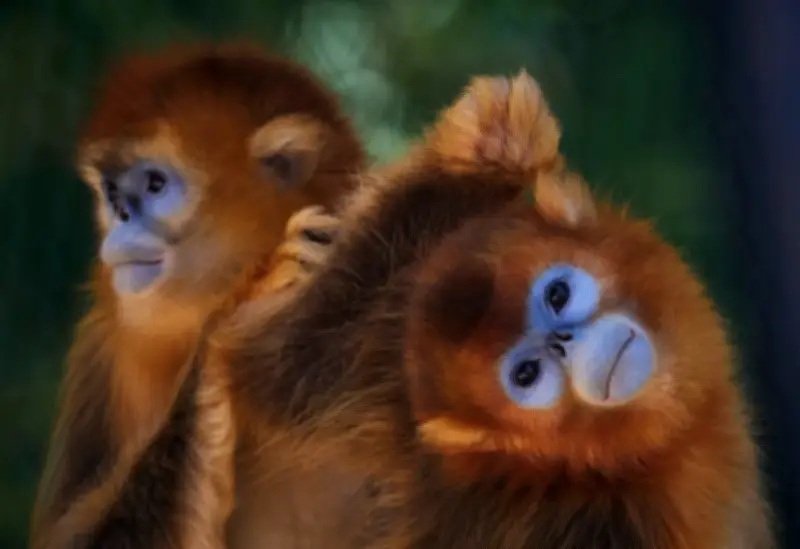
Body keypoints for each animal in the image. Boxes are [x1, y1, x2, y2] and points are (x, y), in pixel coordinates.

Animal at [205, 70, 774, 549]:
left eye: (557, 295)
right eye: (527, 374)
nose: (565, 342)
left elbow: (279, 361)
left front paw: (487, 153)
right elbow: (271, 366)